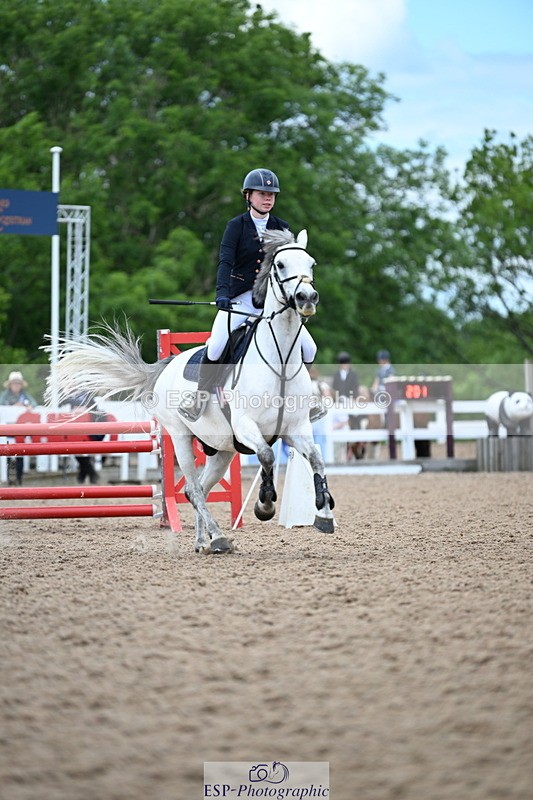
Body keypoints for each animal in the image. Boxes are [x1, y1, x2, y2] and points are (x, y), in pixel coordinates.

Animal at [45, 229, 336, 554]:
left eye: (311, 264)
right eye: (281, 264)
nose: (307, 298)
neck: (280, 360)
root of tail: (166, 366)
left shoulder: (295, 428)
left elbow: (316, 458)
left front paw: (324, 514)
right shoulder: (246, 426)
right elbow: (267, 456)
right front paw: (265, 505)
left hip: (222, 451)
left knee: (197, 490)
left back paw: (203, 541)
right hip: (182, 437)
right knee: (194, 490)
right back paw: (218, 537)